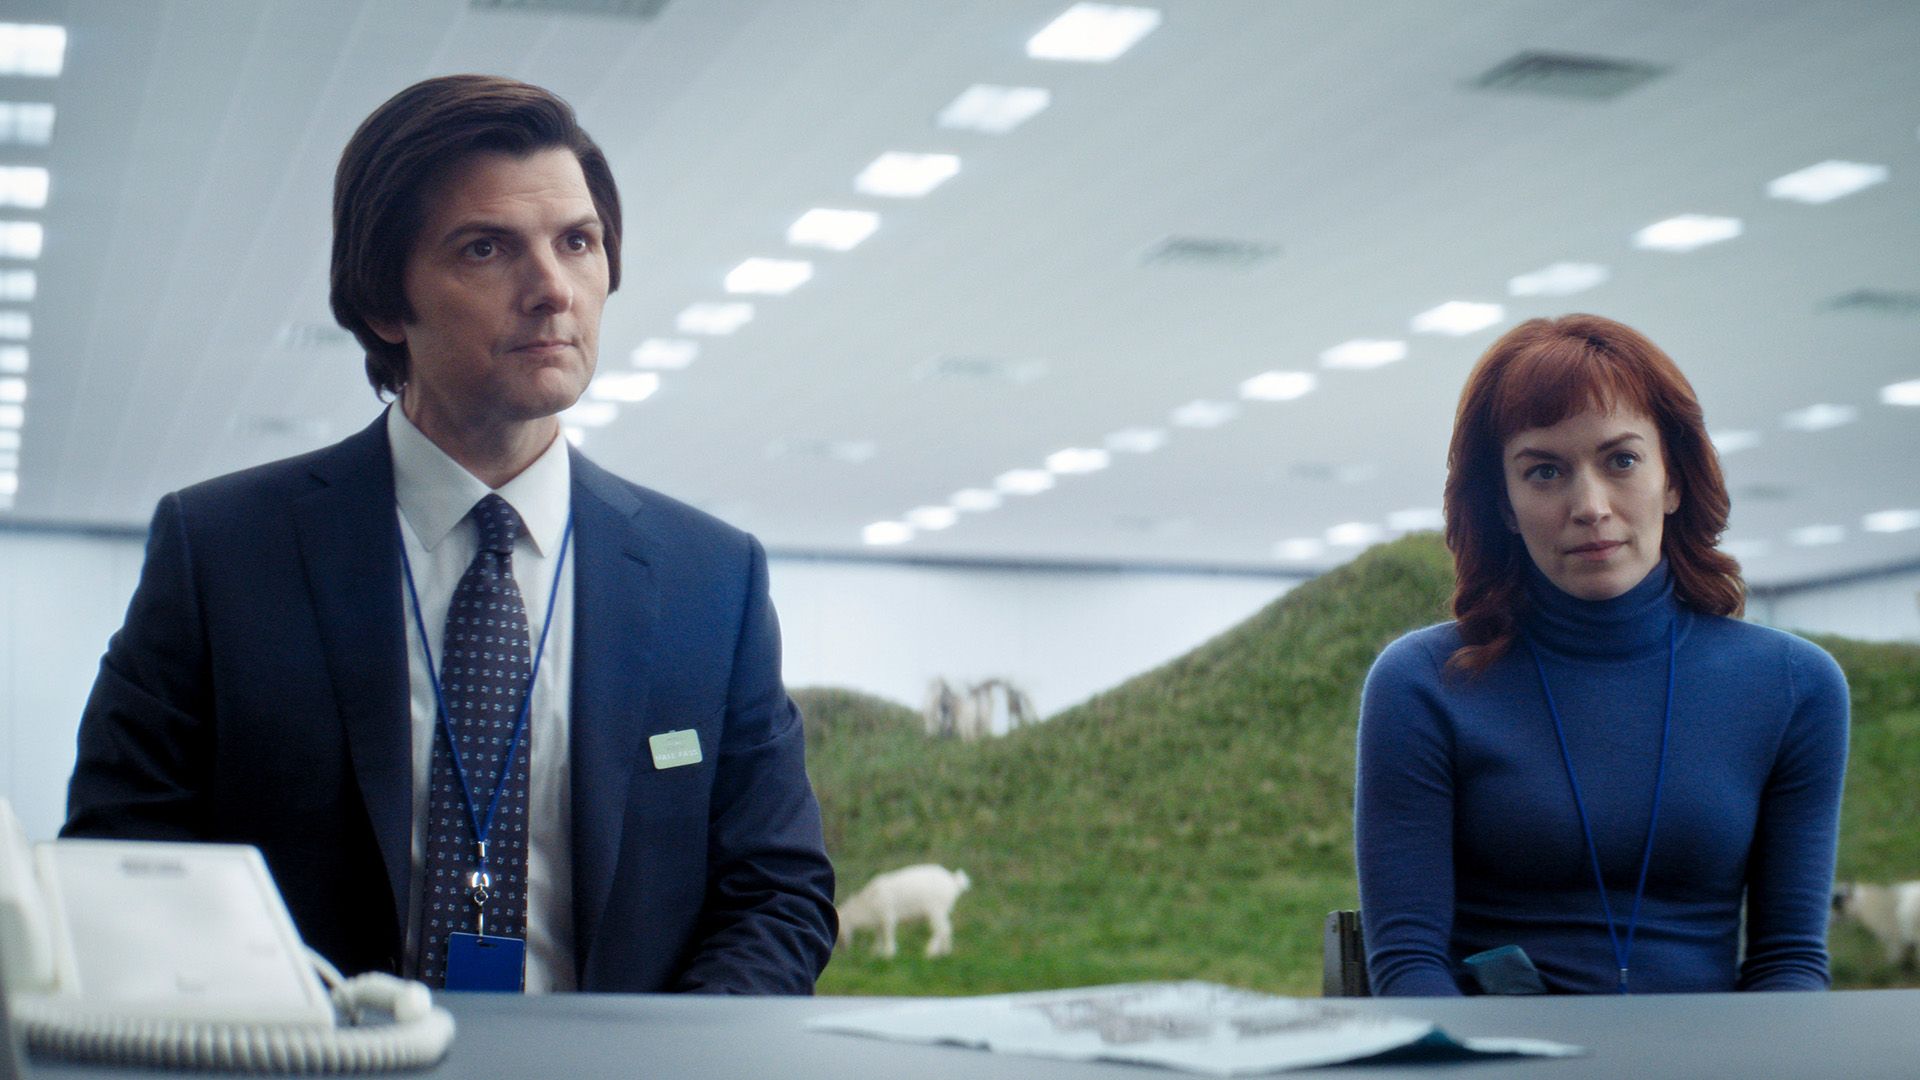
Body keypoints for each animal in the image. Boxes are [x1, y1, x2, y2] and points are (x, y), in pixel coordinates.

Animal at [837, 860, 975, 953]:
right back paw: (946, 951)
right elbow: (879, 935)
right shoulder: (879, 920)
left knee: (942, 929)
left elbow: (888, 934)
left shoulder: (888, 915)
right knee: (947, 928)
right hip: (942, 910)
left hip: (936, 909)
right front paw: (875, 952)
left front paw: (888, 953)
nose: (842, 948)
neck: (867, 904)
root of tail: (954, 881)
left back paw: (930, 952)